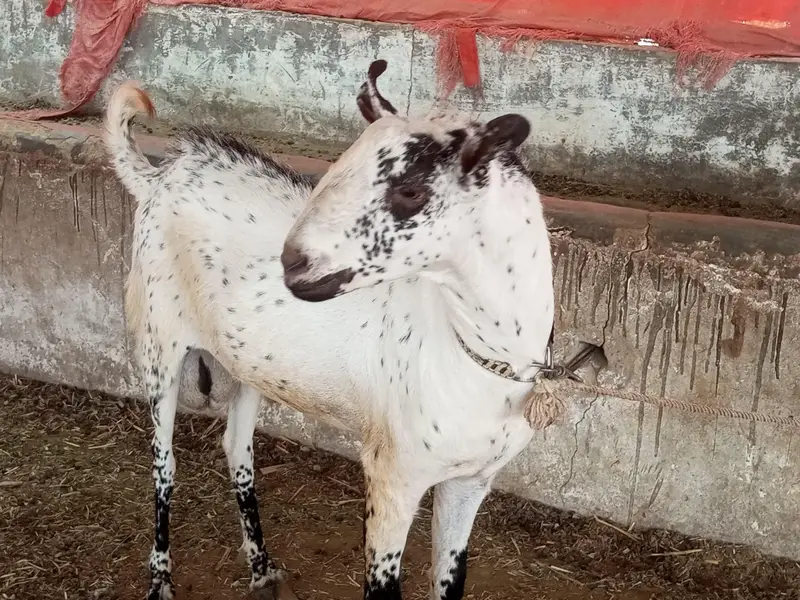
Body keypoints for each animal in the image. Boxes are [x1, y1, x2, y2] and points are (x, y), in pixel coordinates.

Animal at [105, 60, 554, 600]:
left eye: (409, 190)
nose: (293, 261)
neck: (479, 354)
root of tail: (156, 176)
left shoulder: (470, 483)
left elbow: (451, 580)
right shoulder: (392, 476)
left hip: (251, 363)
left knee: (237, 448)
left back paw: (262, 569)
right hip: (157, 342)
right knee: (164, 463)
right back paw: (160, 579)